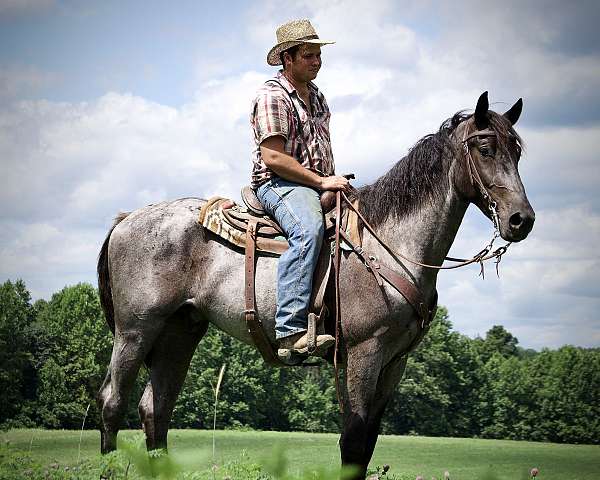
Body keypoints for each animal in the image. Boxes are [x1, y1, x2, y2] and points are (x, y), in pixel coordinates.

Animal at [97, 92, 536, 478]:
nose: (521, 220)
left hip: (180, 331)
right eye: (485, 149)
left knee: (155, 409)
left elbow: (368, 440)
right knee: (112, 402)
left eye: (516, 151)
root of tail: (126, 219)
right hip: (137, 330)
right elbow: (354, 439)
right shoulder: (364, 350)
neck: (390, 244)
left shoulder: (396, 360)